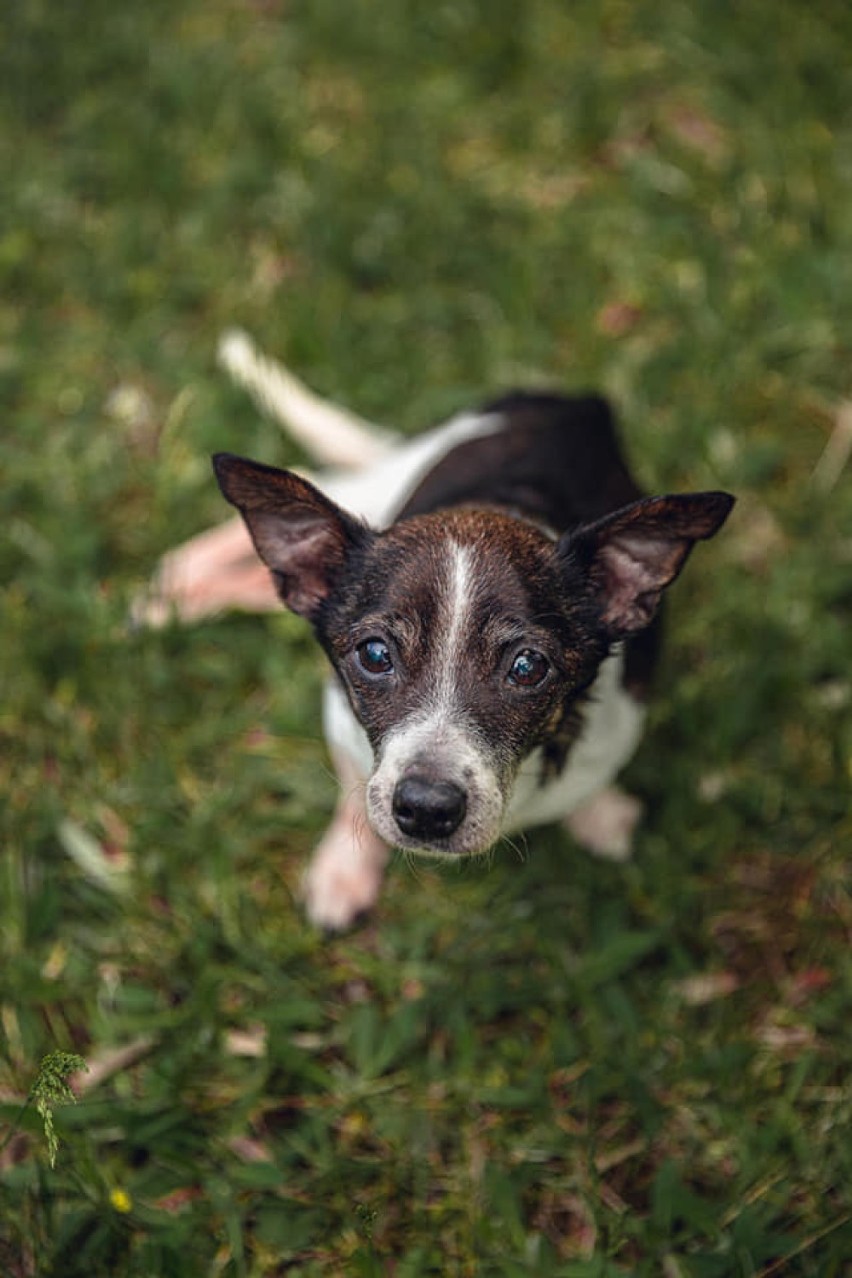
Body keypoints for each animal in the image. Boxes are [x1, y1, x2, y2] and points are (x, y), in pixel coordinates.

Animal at [178, 332, 735, 930]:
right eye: (374, 655)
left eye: (527, 667)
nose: (426, 809)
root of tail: (572, 401)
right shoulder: (343, 728)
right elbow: (353, 793)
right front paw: (345, 866)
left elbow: (594, 783)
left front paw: (598, 813)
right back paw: (168, 588)